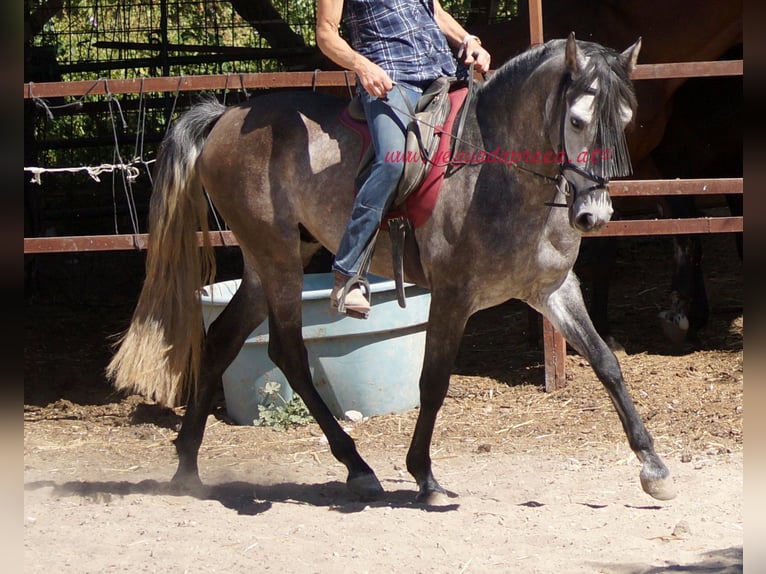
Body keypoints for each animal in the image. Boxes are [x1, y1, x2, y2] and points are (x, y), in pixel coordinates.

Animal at [108, 35, 680, 504]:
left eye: (626, 121)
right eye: (578, 121)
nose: (594, 216)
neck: (497, 173)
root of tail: (226, 117)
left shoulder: (553, 289)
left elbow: (606, 362)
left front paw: (653, 468)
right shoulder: (453, 296)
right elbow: (434, 382)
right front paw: (424, 476)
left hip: (265, 263)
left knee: (223, 340)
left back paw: (188, 465)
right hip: (277, 259)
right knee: (288, 352)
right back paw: (356, 467)